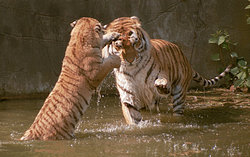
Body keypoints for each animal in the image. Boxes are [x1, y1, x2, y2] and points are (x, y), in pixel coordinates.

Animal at [102, 16, 232, 125]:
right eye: (119, 46)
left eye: (135, 42)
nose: (130, 60)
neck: (133, 69)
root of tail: (186, 60)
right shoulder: (129, 96)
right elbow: (133, 117)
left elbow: (161, 82)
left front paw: (161, 85)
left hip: (180, 93)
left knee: (178, 111)